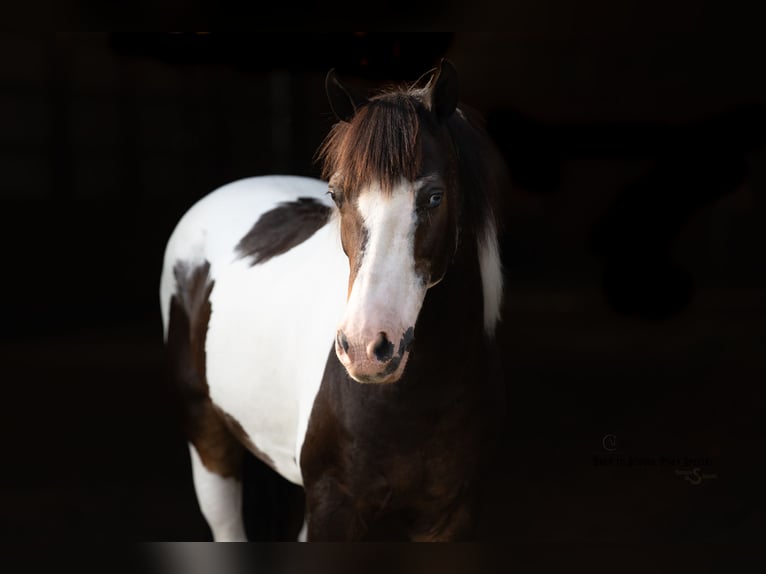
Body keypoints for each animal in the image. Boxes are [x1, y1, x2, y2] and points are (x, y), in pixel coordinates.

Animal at [159, 59, 509, 541]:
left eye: (434, 197)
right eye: (337, 195)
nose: (365, 348)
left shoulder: (450, 518)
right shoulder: (332, 507)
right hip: (208, 440)